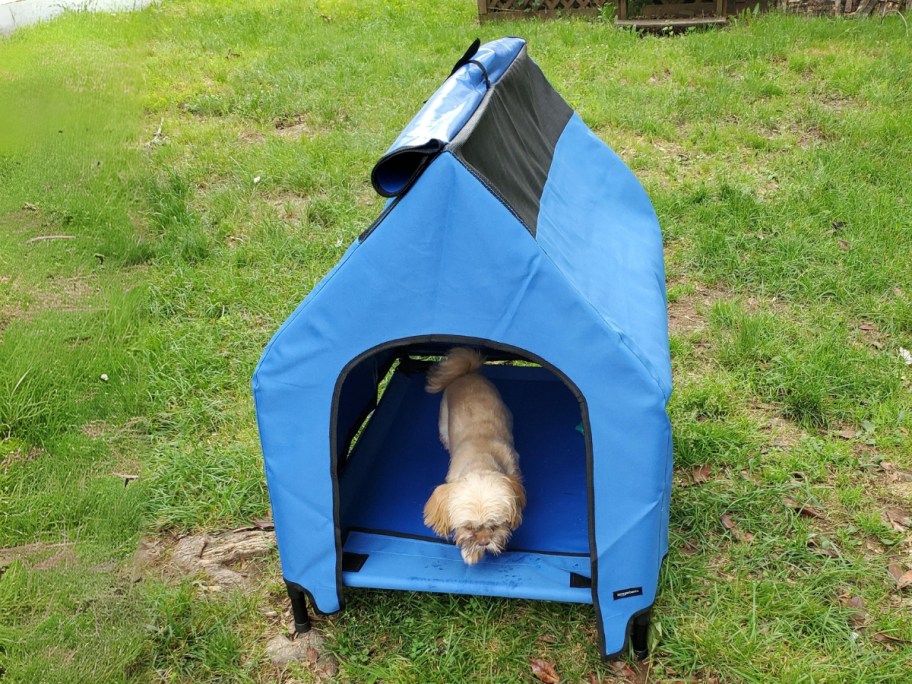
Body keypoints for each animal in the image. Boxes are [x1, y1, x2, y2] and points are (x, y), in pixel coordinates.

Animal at [422, 350, 524, 564]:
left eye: (495, 525)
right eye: (468, 527)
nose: (484, 542)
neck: (481, 457)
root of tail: (466, 374)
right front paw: (471, 553)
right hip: (443, 417)